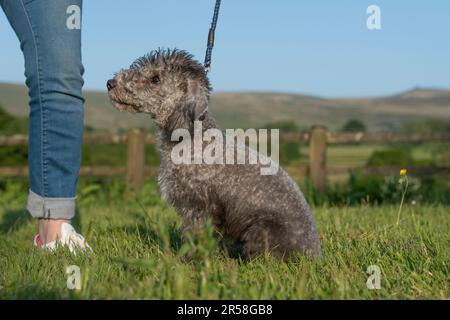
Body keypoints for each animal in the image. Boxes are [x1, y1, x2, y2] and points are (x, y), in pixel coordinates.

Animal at [107, 50, 322, 260]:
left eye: (155, 79)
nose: (110, 83)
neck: (191, 134)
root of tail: (315, 255)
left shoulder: (197, 206)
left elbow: (195, 237)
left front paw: (192, 260)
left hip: (262, 230)